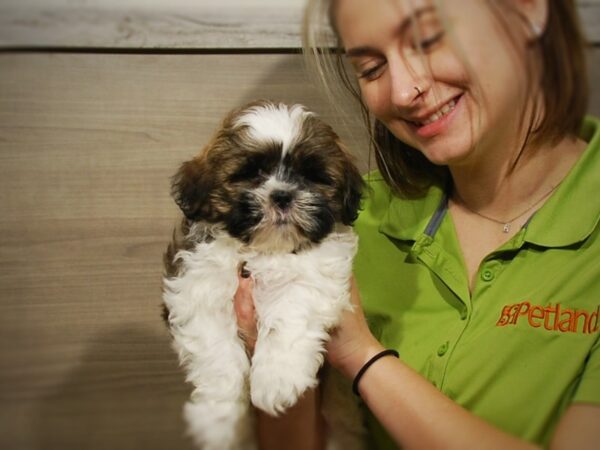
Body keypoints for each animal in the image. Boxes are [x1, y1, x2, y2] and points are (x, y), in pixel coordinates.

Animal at [161, 100, 366, 448]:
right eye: (251, 173)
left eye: (311, 176)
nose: (282, 195)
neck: (266, 250)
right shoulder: (196, 287)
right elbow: (216, 351)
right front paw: (219, 419)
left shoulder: (315, 275)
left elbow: (288, 313)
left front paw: (276, 378)